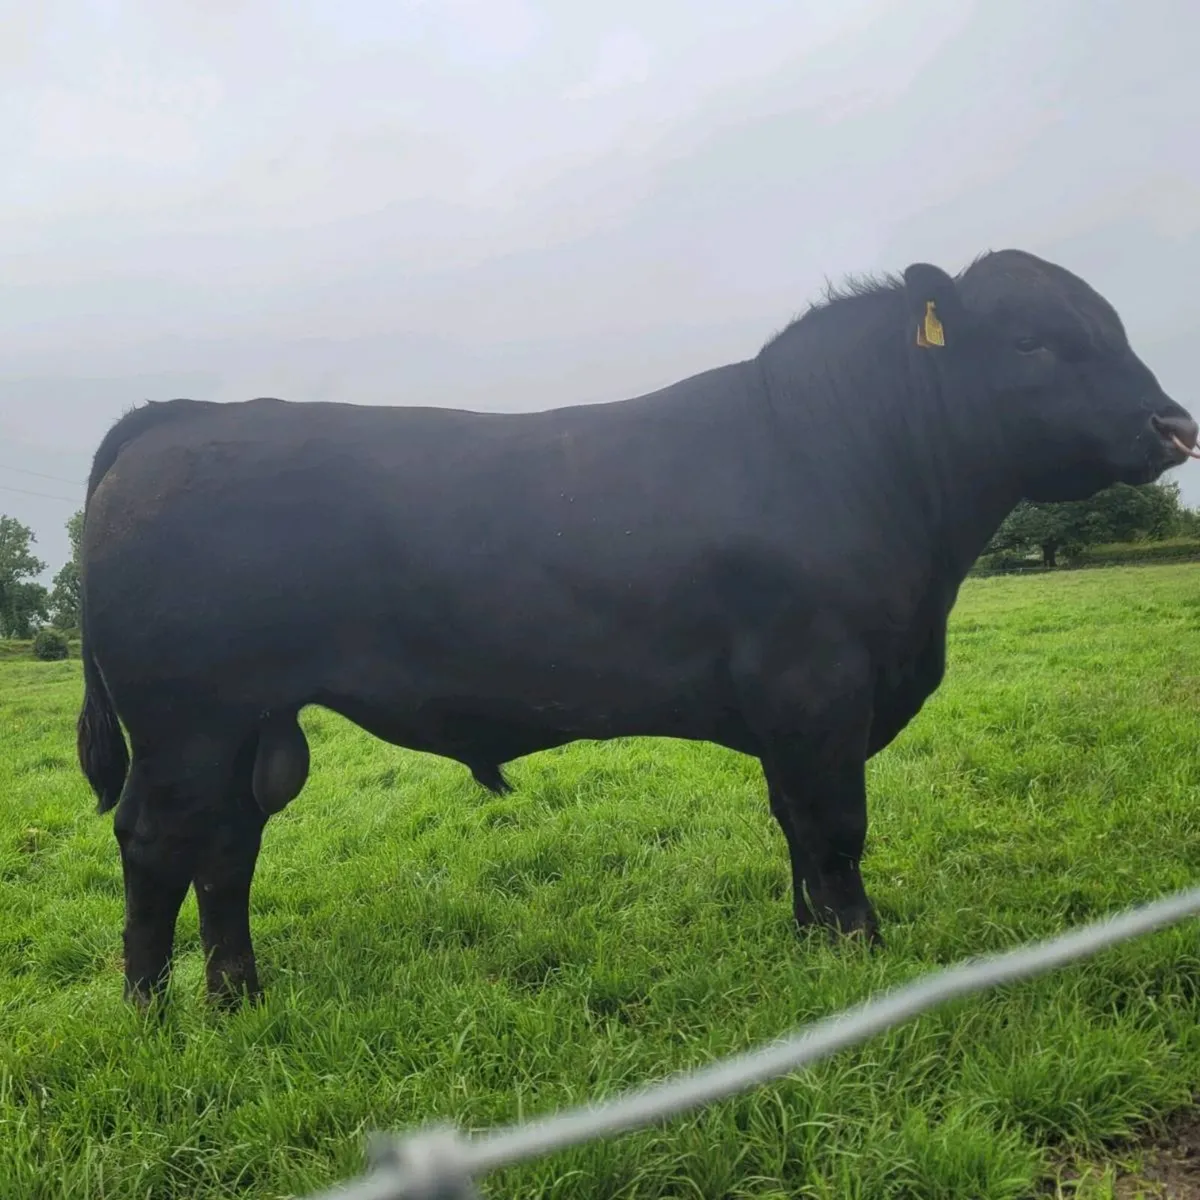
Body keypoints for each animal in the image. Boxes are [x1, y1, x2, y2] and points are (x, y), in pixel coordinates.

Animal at [76, 249, 1198, 1009]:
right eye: (1036, 340)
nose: (1174, 424)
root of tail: (181, 414)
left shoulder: (792, 713)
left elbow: (797, 830)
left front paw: (810, 947)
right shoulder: (817, 689)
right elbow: (835, 829)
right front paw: (861, 962)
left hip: (244, 724)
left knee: (226, 845)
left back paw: (238, 996)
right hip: (185, 720)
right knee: (157, 840)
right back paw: (151, 1011)